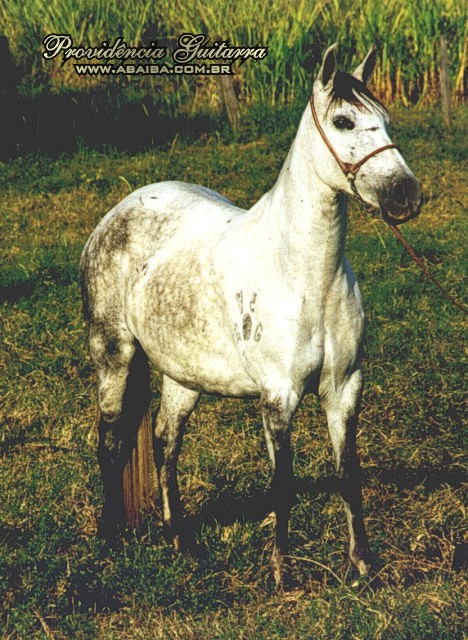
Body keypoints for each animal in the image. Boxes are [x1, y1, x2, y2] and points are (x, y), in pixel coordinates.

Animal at [79, 42, 420, 588]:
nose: (405, 195)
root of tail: (116, 214)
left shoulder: (345, 388)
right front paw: (282, 572)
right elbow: (282, 484)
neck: (305, 276)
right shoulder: (277, 398)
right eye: (344, 121)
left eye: (386, 120)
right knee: (110, 442)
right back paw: (110, 538)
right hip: (114, 356)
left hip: (183, 377)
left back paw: (182, 541)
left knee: (164, 442)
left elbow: (349, 475)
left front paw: (363, 566)